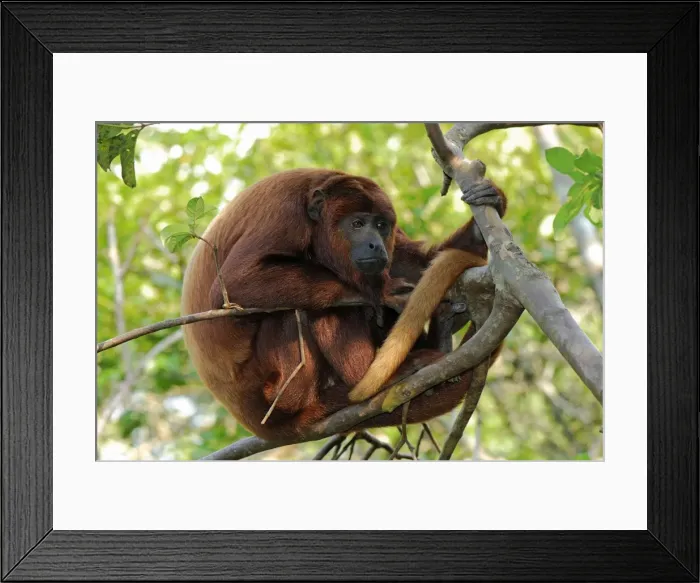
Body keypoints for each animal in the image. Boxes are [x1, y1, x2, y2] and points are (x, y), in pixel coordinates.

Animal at [181, 168, 506, 441]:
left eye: (381, 225)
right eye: (357, 224)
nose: (376, 244)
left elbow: (411, 262)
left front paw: (486, 211)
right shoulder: (285, 214)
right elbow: (236, 282)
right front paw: (380, 292)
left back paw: (440, 334)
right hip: (275, 390)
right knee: (307, 312)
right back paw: (375, 375)